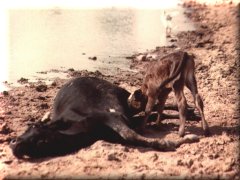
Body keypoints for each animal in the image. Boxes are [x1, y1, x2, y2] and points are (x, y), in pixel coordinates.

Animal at [9, 76, 199, 158]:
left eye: (34, 126)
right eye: (42, 144)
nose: (14, 143)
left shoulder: (109, 116)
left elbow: (131, 135)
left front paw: (183, 140)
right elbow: (133, 134)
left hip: (123, 97)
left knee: (148, 106)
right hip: (129, 113)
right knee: (152, 113)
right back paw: (189, 114)